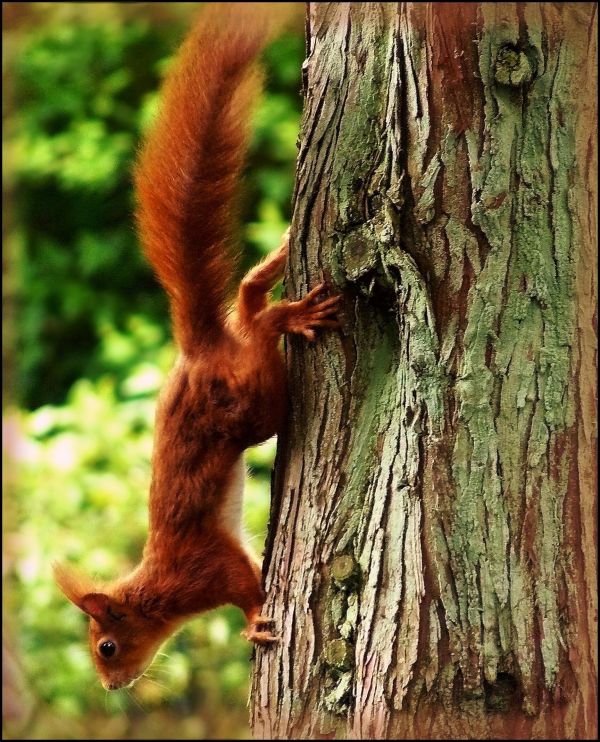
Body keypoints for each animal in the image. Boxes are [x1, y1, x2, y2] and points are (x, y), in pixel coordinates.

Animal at [53, 2, 340, 696]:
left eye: (105, 645)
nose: (111, 689)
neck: (157, 592)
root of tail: (198, 347)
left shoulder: (207, 570)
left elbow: (248, 586)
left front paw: (257, 624)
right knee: (245, 298)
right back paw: (277, 268)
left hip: (252, 406)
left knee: (257, 330)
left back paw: (287, 315)